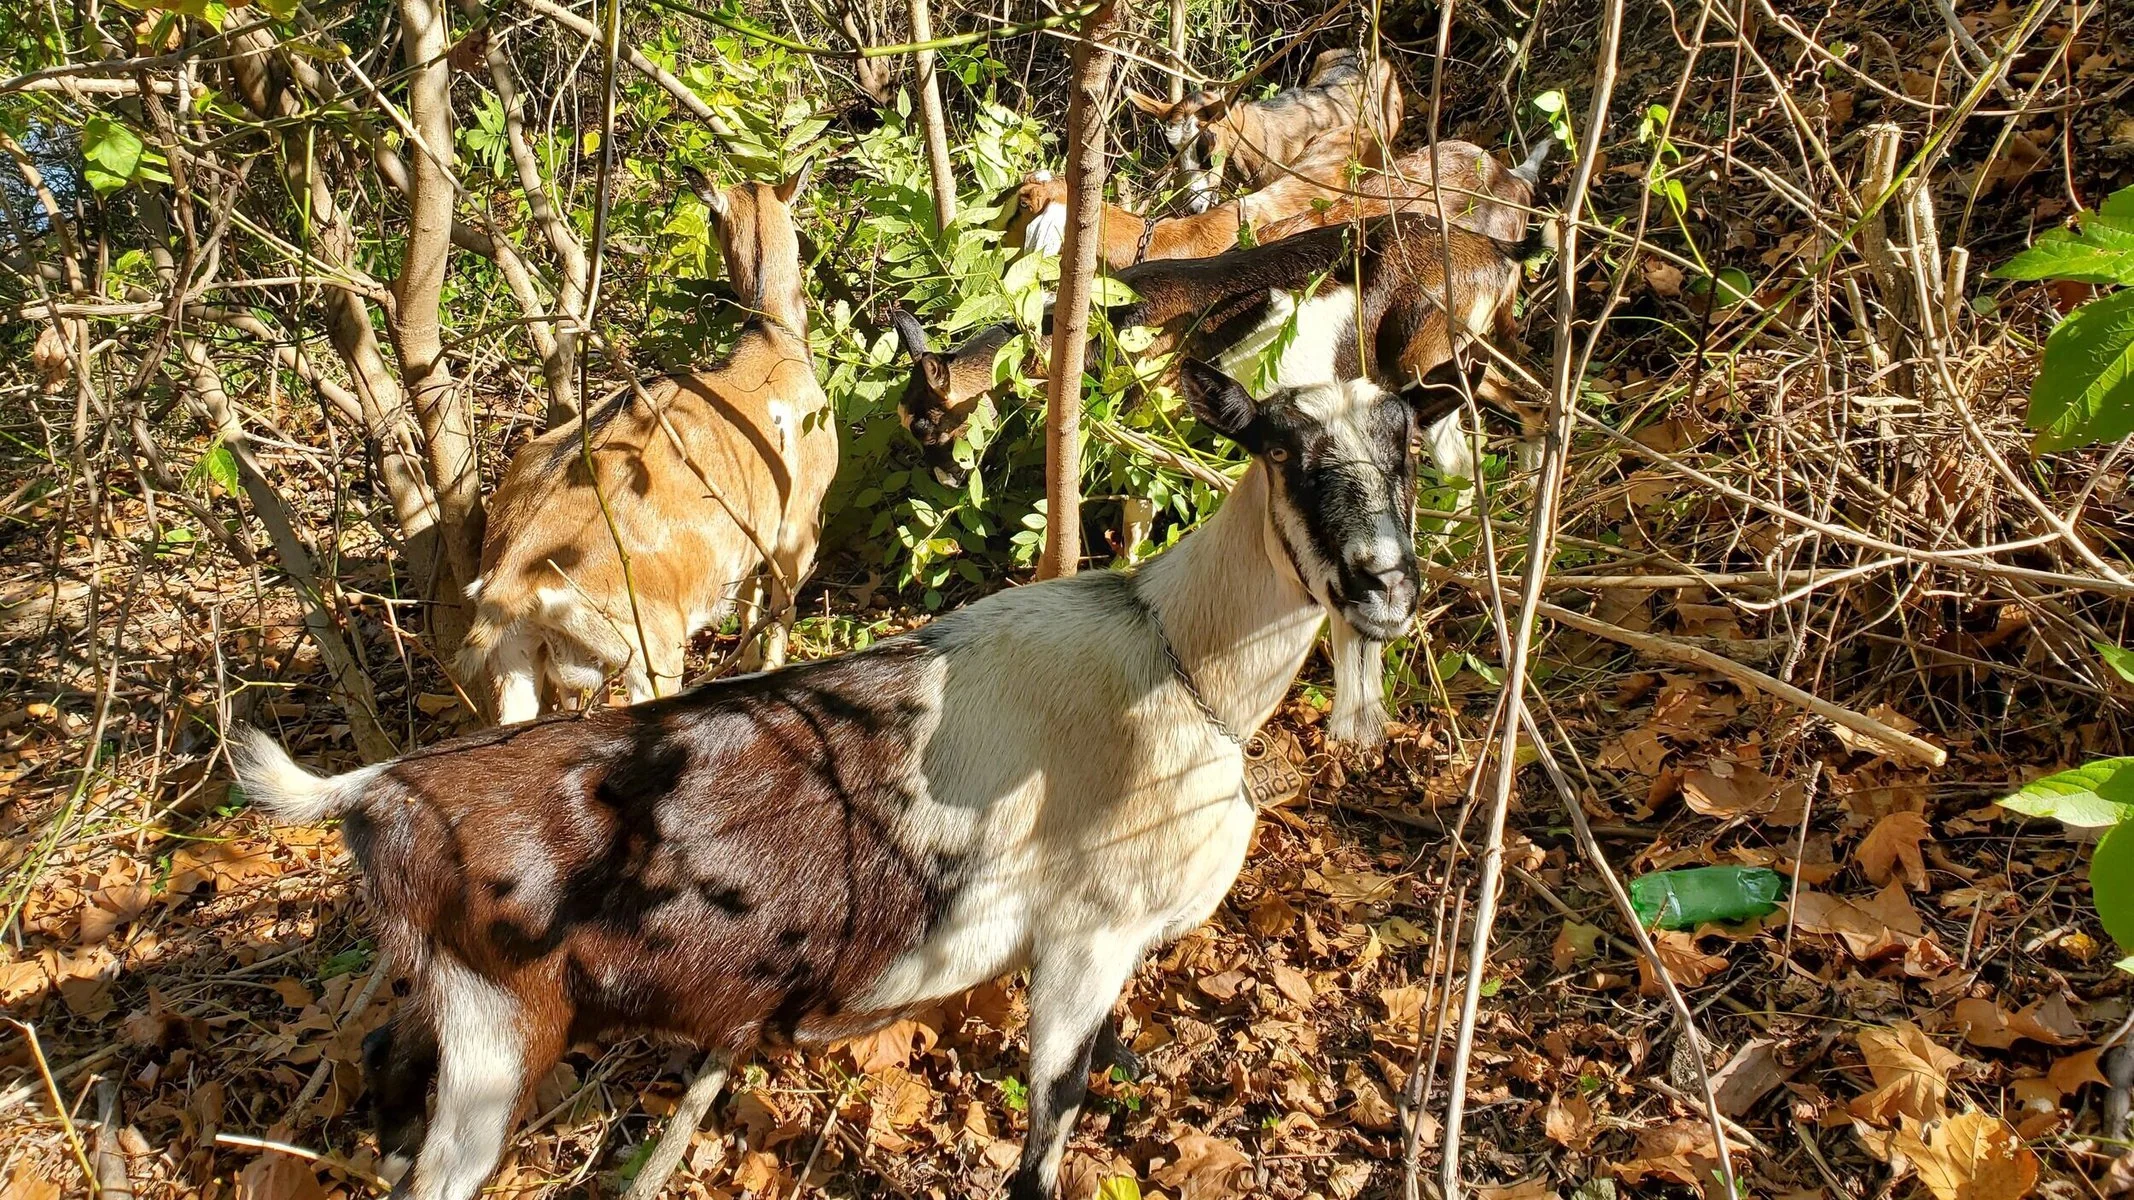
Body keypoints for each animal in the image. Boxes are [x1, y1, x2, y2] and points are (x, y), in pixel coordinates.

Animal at [229, 354, 1468, 1195]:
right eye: (1283, 451)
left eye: (1405, 449)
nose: (1382, 585)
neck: (1176, 659)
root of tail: (379, 790)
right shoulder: (1087, 937)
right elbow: (1046, 1134)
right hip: (497, 1039)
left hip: (448, 1014)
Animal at [458, 163, 832, 725]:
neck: (772, 342)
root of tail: (511, 580)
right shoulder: (797, 525)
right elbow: (780, 612)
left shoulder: (751, 537)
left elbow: (748, 599)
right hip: (648, 647)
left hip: (516, 662)